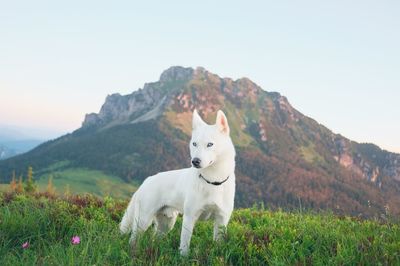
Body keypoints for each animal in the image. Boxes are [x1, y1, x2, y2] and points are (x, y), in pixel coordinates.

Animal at [120, 109, 236, 255]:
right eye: (194, 144)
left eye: (210, 144)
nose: (195, 161)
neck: (212, 181)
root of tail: (147, 180)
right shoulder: (190, 217)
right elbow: (185, 245)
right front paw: (183, 257)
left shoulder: (222, 219)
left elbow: (218, 244)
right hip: (143, 221)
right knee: (133, 239)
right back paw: (133, 253)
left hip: (166, 224)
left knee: (155, 238)